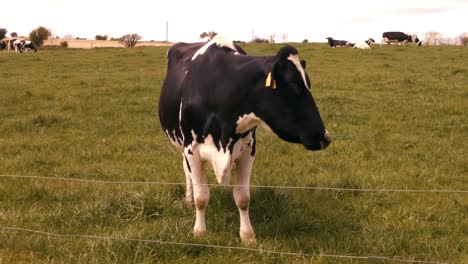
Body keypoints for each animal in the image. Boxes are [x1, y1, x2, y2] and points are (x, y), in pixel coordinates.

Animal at [159, 34, 330, 243]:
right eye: (294, 86)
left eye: (308, 84)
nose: (325, 137)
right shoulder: (192, 148)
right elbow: (201, 197)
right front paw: (200, 231)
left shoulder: (248, 148)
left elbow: (242, 197)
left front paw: (247, 236)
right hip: (182, 145)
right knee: (187, 172)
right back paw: (188, 198)